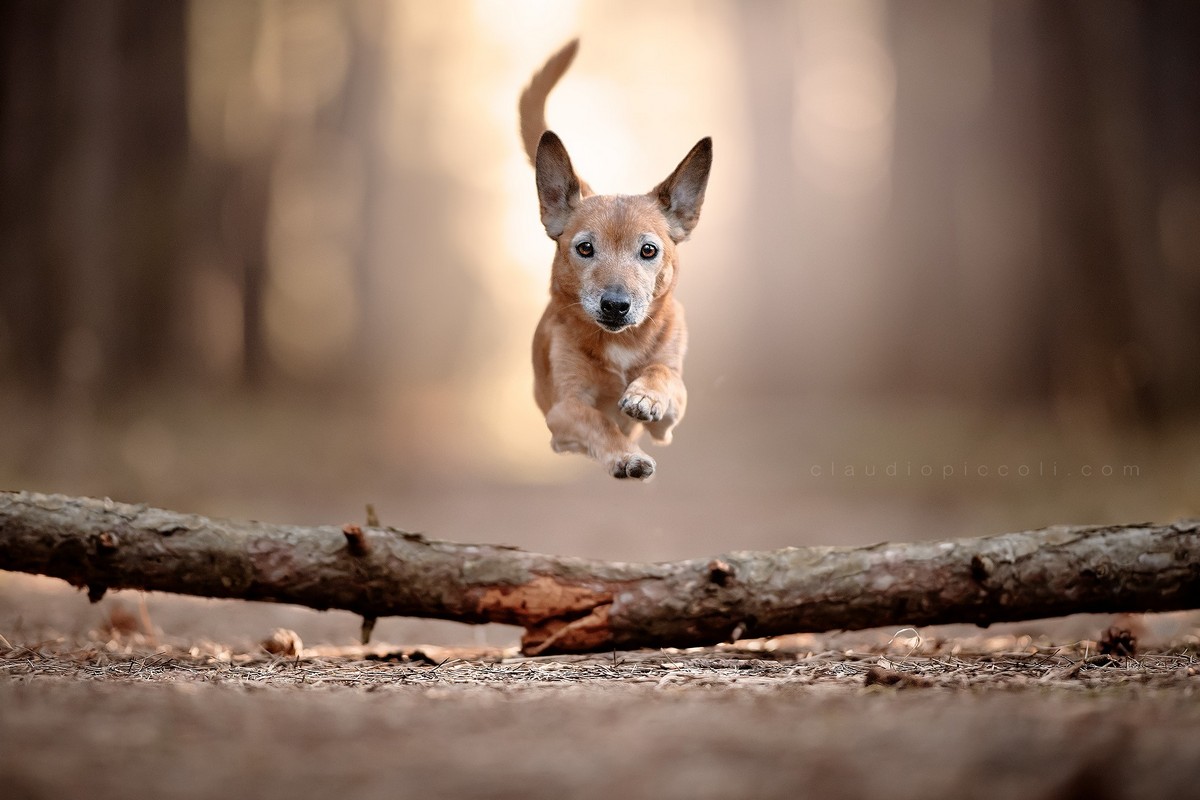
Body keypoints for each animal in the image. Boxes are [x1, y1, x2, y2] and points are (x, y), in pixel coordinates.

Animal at [518, 40, 710, 482]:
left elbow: (662, 375)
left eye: (649, 250)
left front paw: (644, 396)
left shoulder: (671, 416)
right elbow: (599, 421)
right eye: (585, 248)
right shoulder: (563, 411)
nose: (616, 306)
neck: (621, 343)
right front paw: (626, 456)